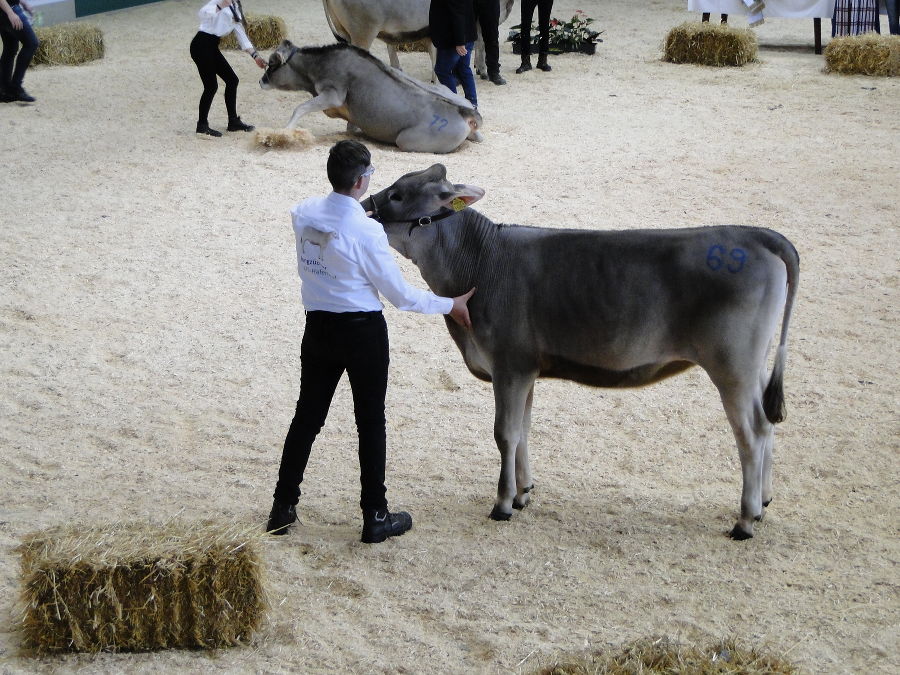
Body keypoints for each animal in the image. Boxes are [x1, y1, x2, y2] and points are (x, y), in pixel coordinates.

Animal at [260, 41, 486, 154]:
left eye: (271, 64)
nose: (261, 81)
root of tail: (467, 112)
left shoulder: (332, 94)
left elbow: (300, 108)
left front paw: (284, 132)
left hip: (406, 140)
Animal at [366, 164, 800, 540]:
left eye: (399, 194)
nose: (366, 209)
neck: (479, 262)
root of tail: (758, 235)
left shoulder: (509, 364)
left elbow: (505, 432)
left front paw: (502, 504)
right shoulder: (526, 370)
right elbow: (523, 429)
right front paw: (523, 493)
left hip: (732, 366)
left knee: (751, 433)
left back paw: (745, 520)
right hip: (754, 366)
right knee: (767, 424)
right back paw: (764, 501)